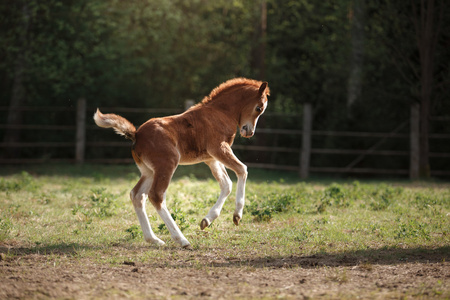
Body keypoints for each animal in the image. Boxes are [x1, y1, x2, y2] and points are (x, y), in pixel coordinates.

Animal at [93, 78, 268, 248]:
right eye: (259, 108)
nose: (249, 132)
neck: (220, 112)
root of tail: (136, 134)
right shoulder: (219, 148)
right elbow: (242, 169)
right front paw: (237, 215)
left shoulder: (210, 158)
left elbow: (226, 184)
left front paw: (207, 221)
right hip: (167, 164)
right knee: (156, 195)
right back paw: (181, 240)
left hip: (149, 171)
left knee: (137, 195)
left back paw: (154, 239)